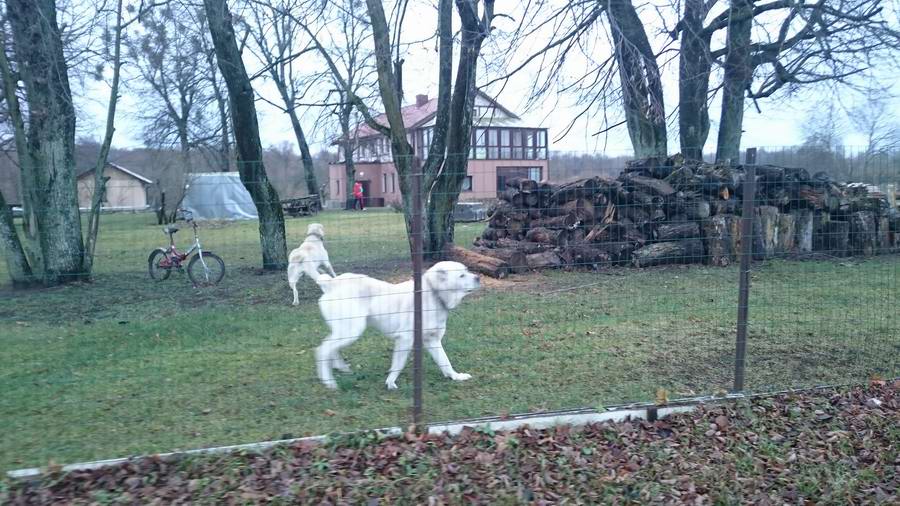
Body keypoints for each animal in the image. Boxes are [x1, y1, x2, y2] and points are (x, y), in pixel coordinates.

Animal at [316, 262, 486, 390]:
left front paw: (456, 377)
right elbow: (398, 364)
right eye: (461, 275)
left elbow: (445, 362)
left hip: (346, 331)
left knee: (331, 348)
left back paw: (340, 368)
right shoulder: (405, 339)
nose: (478, 278)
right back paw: (329, 382)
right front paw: (390, 382)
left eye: (467, 271)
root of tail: (331, 284)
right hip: (351, 331)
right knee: (323, 350)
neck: (433, 293)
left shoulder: (432, 340)